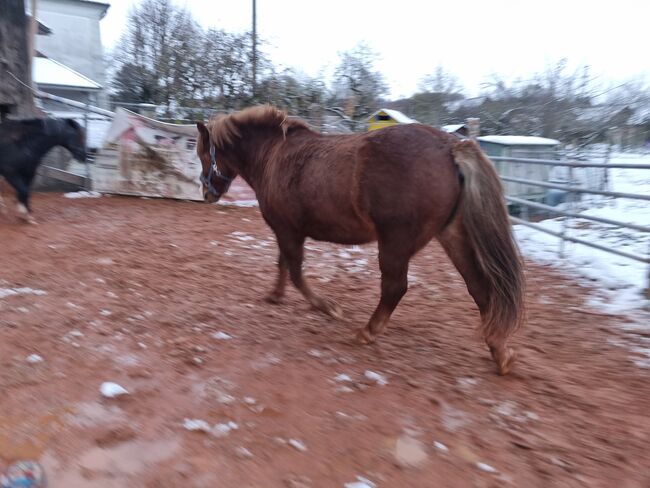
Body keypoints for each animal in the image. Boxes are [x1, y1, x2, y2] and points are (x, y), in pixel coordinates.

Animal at [195, 106, 524, 374]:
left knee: (395, 287)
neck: (273, 155)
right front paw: (275, 296)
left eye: (203, 154)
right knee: (478, 287)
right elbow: (283, 266)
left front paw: (327, 307)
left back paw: (367, 331)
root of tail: (450, 146)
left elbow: (296, 272)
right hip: (450, 235)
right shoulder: (285, 230)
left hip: (395, 241)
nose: (207, 194)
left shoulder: (288, 230)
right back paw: (500, 352)